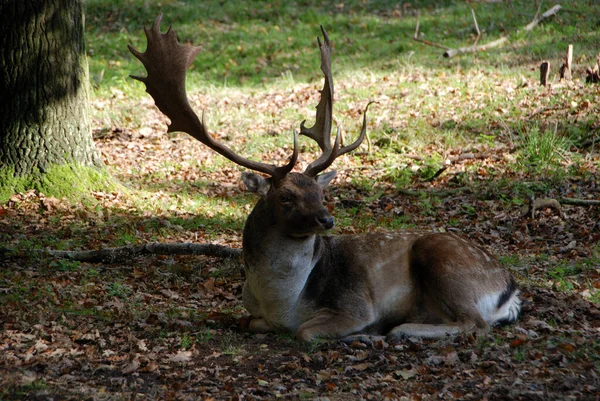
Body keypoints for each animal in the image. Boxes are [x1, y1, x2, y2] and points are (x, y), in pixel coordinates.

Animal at [130, 15, 520, 340]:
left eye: (321, 193)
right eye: (285, 196)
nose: (327, 220)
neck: (281, 303)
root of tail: (509, 287)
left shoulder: (356, 305)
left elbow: (306, 332)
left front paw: (366, 333)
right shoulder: (256, 315)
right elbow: (247, 322)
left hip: (443, 259)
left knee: (476, 323)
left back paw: (399, 329)